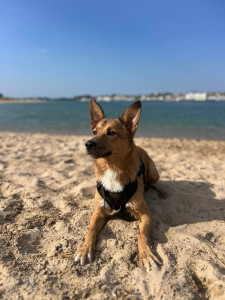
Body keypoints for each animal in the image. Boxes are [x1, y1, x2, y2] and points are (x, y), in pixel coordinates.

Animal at [74, 99, 161, 272]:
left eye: (111, 133)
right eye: (94, 131)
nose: (88, 144)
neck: (112, 166)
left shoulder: (145, 214)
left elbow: (141, 235)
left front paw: (146, 255)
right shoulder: (99, 211)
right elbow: (90, 230)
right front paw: (84, 249)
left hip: (153, 173)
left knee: (156, 183)